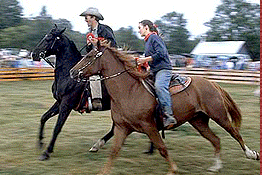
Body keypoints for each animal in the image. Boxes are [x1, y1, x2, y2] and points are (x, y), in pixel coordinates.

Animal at [31, 25, 113, 161]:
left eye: (48, 38)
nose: (34, 54)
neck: (68, 74)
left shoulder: (66, 104)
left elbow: (57, 127)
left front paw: (47, 152)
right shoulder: (59, 102)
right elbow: (44, 117)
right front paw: (40, 142)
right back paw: (97, 145)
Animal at [68, 45, 258, 174]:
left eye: (90, 56)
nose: (72, 72)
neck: (129, 90)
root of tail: (212, 83)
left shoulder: (149, 126)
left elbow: (162, 148)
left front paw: (173, 169)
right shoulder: (122, 128)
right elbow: (114, 152)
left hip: (219, 115)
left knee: (235, 133)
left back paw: (251, 154)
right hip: (199, 121)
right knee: (216, 140)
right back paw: (216, 166)